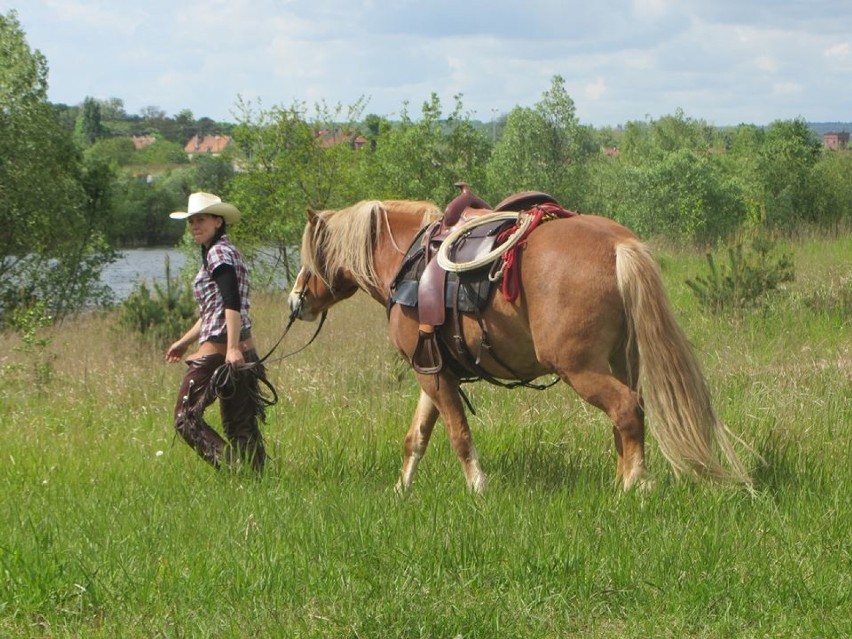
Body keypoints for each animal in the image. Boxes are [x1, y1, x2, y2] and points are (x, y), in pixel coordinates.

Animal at [288, 198, 752, 492]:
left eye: (309, 258)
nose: (296, 301)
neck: (407, 263)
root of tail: (618, 245)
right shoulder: (433, 371)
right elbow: (416, 436)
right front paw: (403, 490)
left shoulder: (431, 376)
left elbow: (458, 435)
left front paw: (478, 489)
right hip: (622, 360)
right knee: (628, 416)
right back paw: (624, 478)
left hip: (580, 369)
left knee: (625, 410)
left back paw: (634, 486)